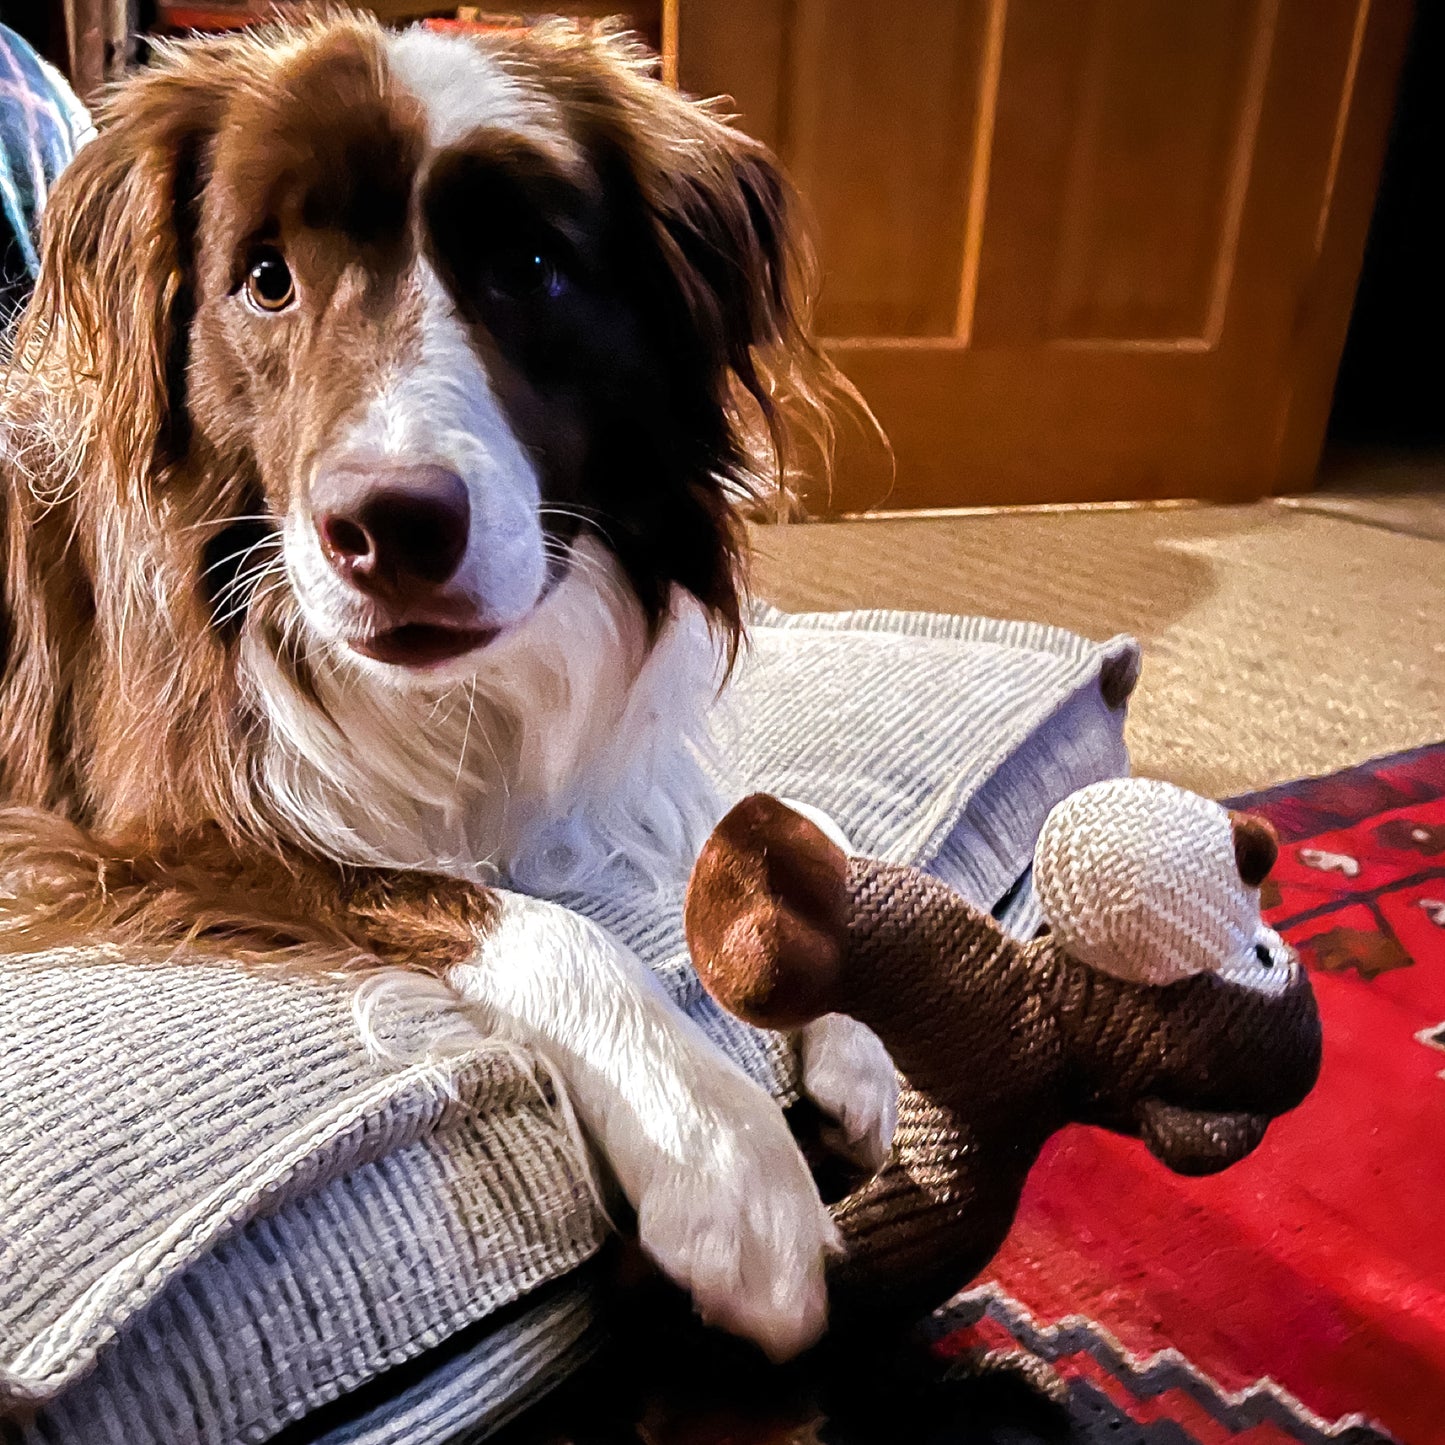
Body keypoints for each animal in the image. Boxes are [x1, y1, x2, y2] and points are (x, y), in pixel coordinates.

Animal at [0, 16, 901, 1358]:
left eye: (528, 264)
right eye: (265, 279)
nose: (389, 527)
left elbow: (774, 814)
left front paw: (852, 1018)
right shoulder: (153, 830)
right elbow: (536, 921)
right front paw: (717, 1150)